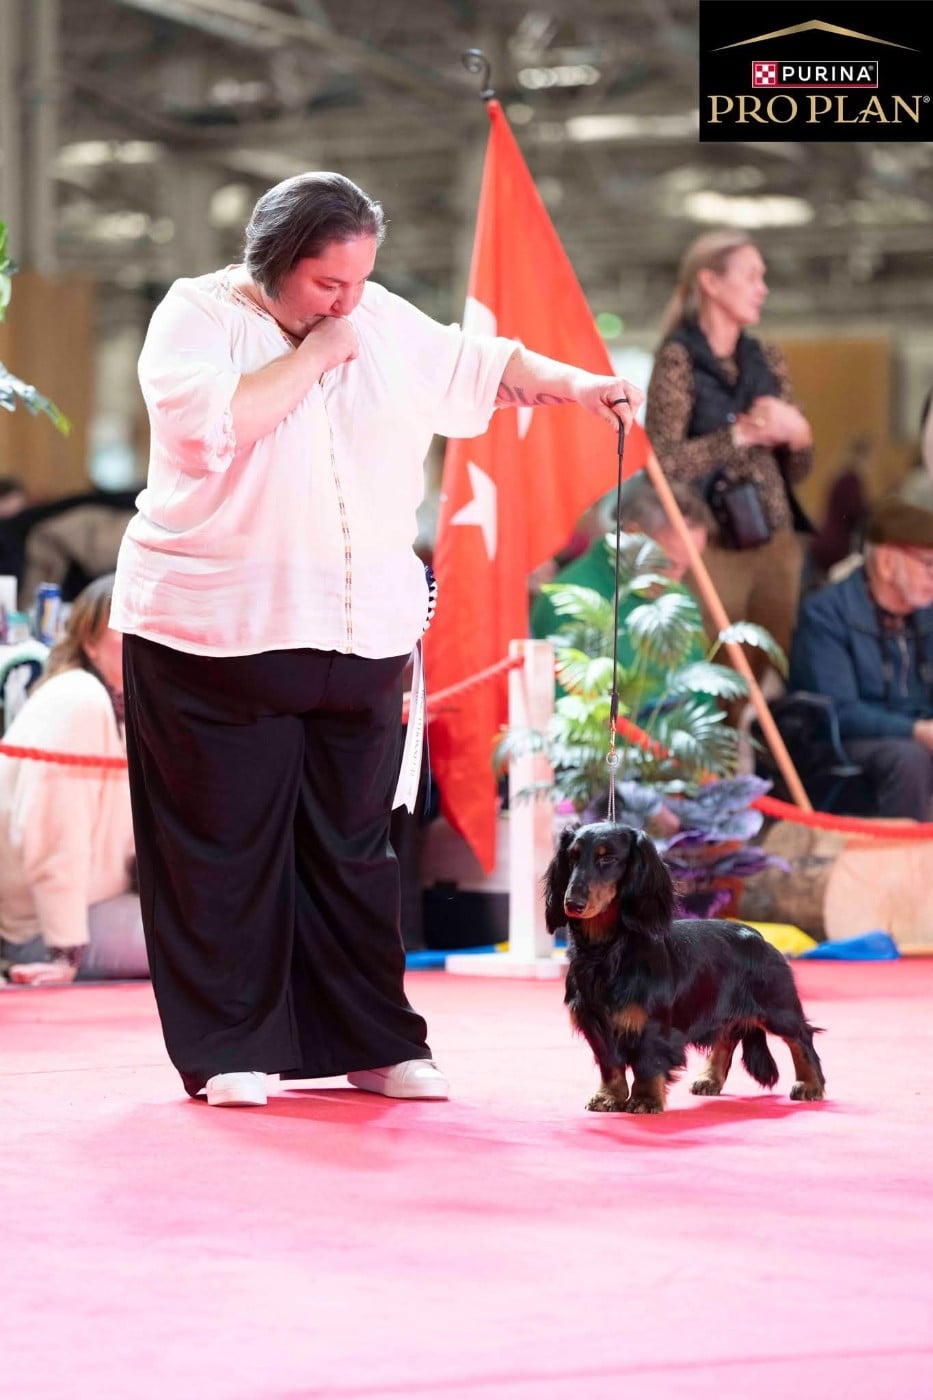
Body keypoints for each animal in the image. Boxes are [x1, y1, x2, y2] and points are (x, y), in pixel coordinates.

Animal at [544, 821, 825, 1113]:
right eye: (572, 857)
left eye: (607, 859)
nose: (572, 904)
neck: (607, 950)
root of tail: (757, 935)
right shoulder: (596, 1024)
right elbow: (610, 1064)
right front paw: (609, 1096)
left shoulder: (651, 1025)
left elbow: (647, 1063)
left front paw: (645, 1100)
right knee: (726, 1038)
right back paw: (710, 1079)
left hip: (778, 1009)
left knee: (801, 1037)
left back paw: (810, 1085)